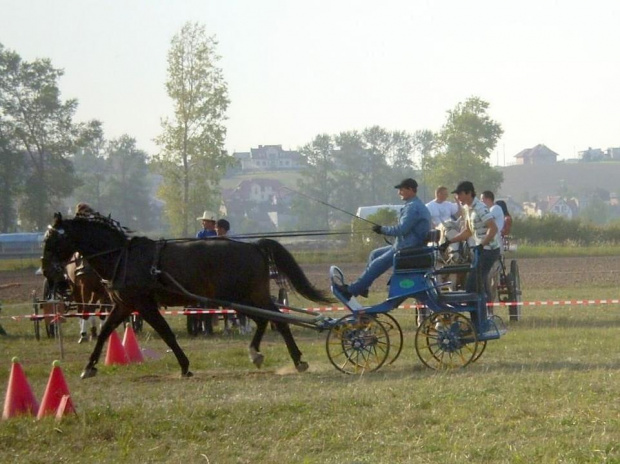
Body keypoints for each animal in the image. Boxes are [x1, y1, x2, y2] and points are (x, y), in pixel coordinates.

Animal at [42, 212, 334, 378]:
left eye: (52, 240)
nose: (47, 271)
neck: (123, 257)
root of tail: (254, 246)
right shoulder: (124, 305)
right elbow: (104, 333)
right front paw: (89, 367)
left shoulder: (144, 305)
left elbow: (166, 334)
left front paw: (184, 366)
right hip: (245, 297)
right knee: (268, 319)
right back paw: (262, 354)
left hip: (244, 296)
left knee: (276, 320)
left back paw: (293, 359)